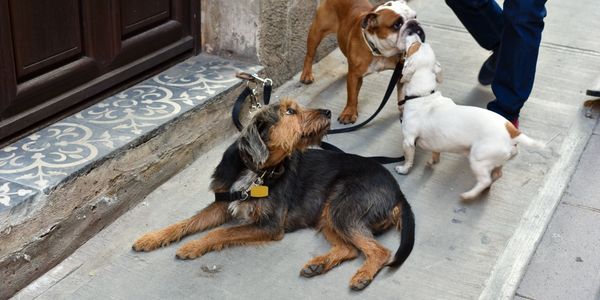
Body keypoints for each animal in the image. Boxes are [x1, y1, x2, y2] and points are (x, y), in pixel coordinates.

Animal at [132, 99, 412, 290]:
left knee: (380, 251)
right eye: (290, 111)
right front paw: (153, 238)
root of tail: (398, 192)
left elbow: (221, 233)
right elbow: (187, 222)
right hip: (328, 214)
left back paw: (362, 275)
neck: (257, 170)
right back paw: (318, 265)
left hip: (343, 209)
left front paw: (193, 246)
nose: (328, 112)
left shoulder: (270, 224)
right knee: (351, 249)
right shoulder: (222, 203)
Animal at [394, 34, 544, 199]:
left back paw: (469, 195)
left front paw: (403, 169)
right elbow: (435, 153)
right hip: (497, 162)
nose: (415, 33)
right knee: (497, 175)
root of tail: (511, 131)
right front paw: (433, 162)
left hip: (478, 159)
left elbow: (408, 159)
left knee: (484, 180)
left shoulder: (408, 141)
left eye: (415, 46)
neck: (423, 95)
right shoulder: (435, 143)